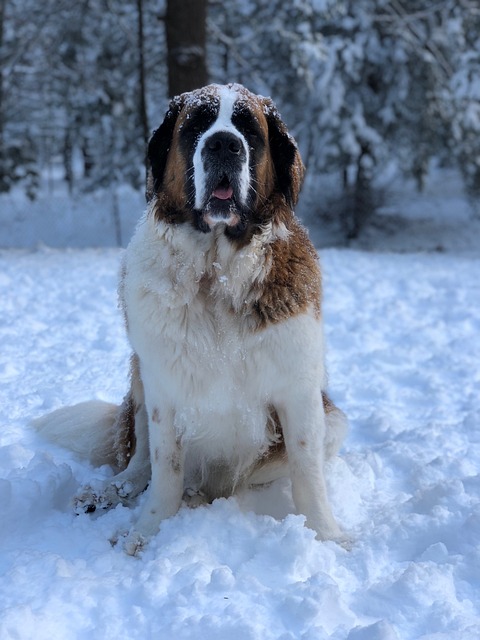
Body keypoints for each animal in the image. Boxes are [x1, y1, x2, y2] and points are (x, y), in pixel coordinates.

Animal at [34, 84, 348, 556]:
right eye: (197, 125)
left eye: (248, 130)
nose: (223, 144)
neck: (215, 274)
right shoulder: (163, 388)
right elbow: (165, 468)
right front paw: (146, 530)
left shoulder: (300, 390)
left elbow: (307, 471)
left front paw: (328, 537)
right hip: (139, 379)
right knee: (140, 461)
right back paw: (110, 491)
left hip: (333, 421)